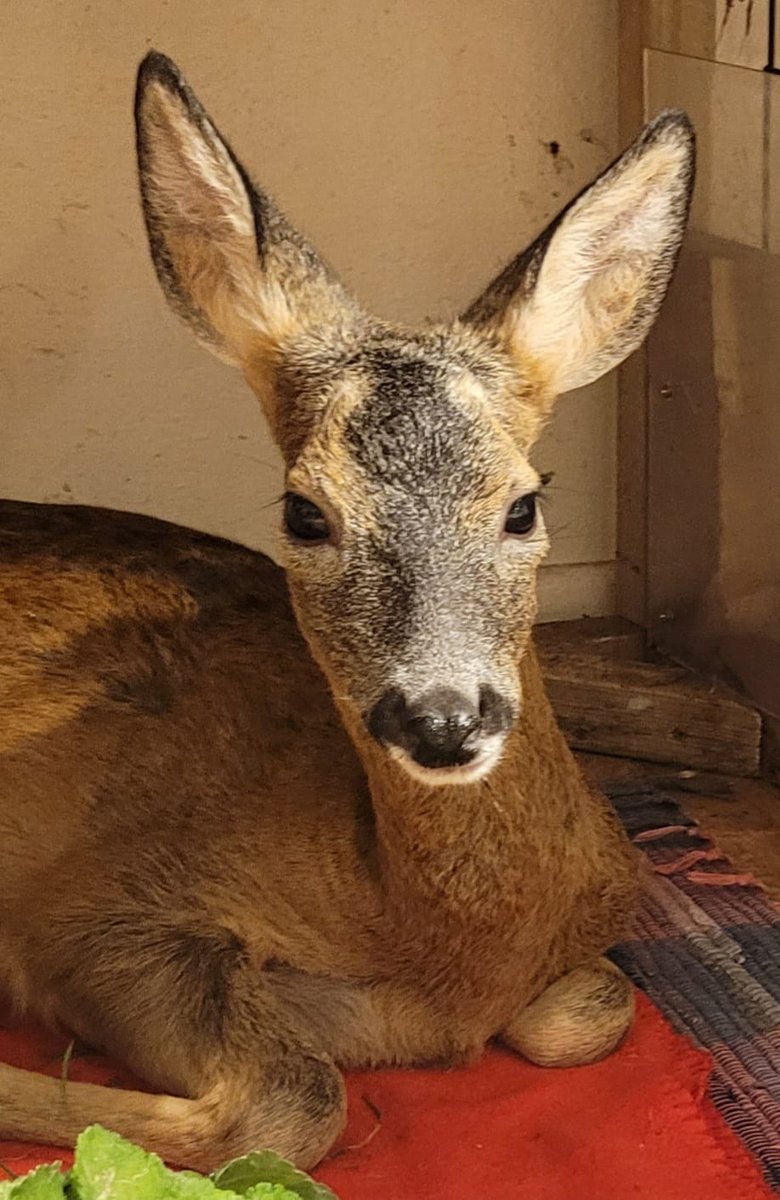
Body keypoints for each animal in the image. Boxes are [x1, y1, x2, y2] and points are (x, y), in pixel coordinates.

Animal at [0, 52, 694, 1173]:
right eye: (304, 511)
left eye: (525, 502)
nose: (442, 719)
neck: (440, 956)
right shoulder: (90, 909)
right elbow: (294, 1101)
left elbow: (593, 1011)